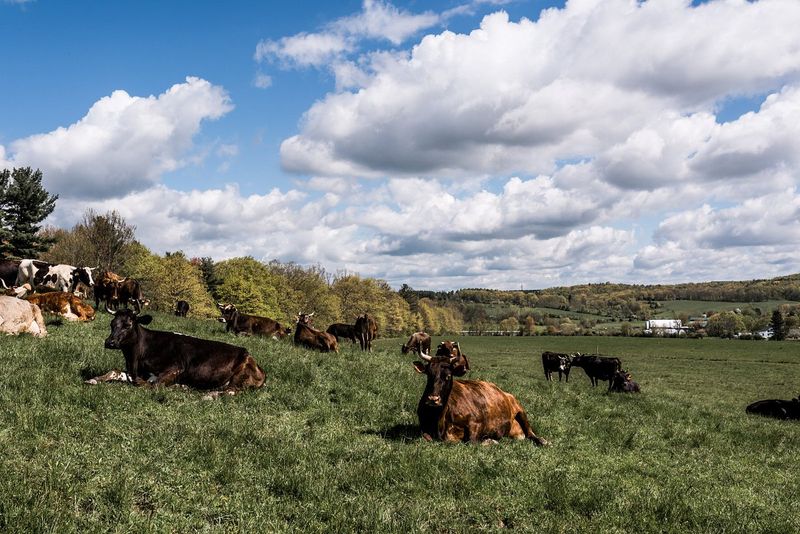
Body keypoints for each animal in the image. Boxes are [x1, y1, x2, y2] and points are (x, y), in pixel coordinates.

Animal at [86, 308, 266, 400]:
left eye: (128, 325)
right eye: (112, 323)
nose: (109, 342)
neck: (136, 357)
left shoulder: (176, 368)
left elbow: (152, 385)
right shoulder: (134, 371)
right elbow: (115, 371)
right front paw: (94, 379)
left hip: (240, 374)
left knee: (232, 391)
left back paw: (209, 395)